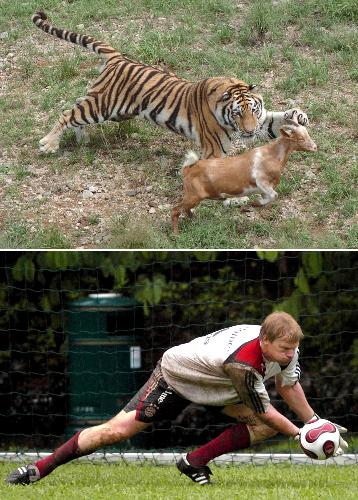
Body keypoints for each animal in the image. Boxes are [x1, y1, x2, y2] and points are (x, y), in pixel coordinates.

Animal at [32, 11, 310, 159]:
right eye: (237, 113)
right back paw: (48, 144)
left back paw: (82, 138)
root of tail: (119, 57)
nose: (249, 132)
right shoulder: (214, 148)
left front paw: (298, 115)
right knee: (67, 114)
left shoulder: (261, 121)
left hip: (115, 110)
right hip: (104, 105)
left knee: (76, 106)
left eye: (253, 110)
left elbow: (276, 120)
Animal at [172, 120, 318, 233]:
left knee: (186, 210)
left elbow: (267, 200)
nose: (315, 147)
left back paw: (194, 222)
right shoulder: (261, 182)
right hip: (193, 196)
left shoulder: (265, 190)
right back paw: (176, 234)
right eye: (300, 138)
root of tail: (188, 169)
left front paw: (249, 206)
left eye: (307, 134)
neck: (271, 155)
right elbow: (274, 195)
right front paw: (250, 204)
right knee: (175, 210)